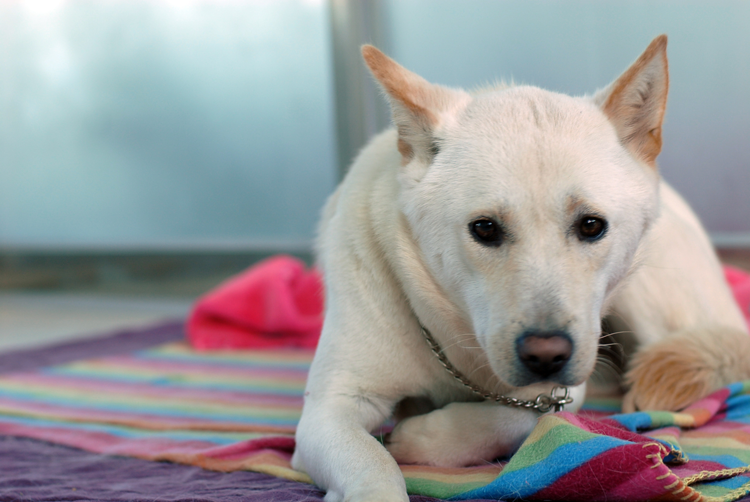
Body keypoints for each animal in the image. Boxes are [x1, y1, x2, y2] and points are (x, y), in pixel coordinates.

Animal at [292, 36, 750, 502]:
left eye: (591, 225)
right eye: (484, 229)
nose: (546, 355)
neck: (457, 348)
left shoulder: (565, 386)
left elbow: (521, 415)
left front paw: (425, 437)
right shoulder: (331, 408)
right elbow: (374, 466)